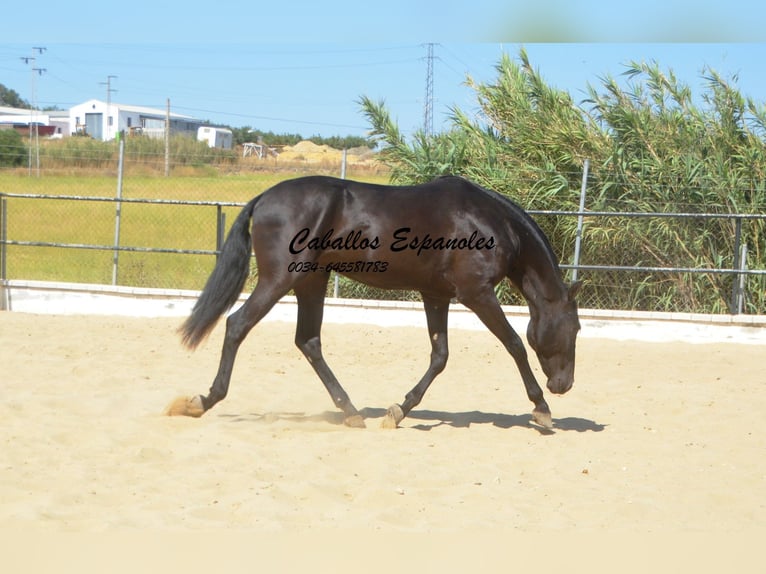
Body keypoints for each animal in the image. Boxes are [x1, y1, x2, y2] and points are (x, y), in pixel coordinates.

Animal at [168, 178, 584, 430]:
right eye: (576, 327)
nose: (563, 385)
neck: (489, 222)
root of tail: (263, 198)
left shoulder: (436, 296)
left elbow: (440, 357)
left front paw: (397, 411)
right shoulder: (476, 294)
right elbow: (514, 345)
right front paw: (542, 409)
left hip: (311, 281)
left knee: (308, 342)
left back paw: (352, 412)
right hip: (280, 280)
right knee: (237, 325)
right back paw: (202, 401)